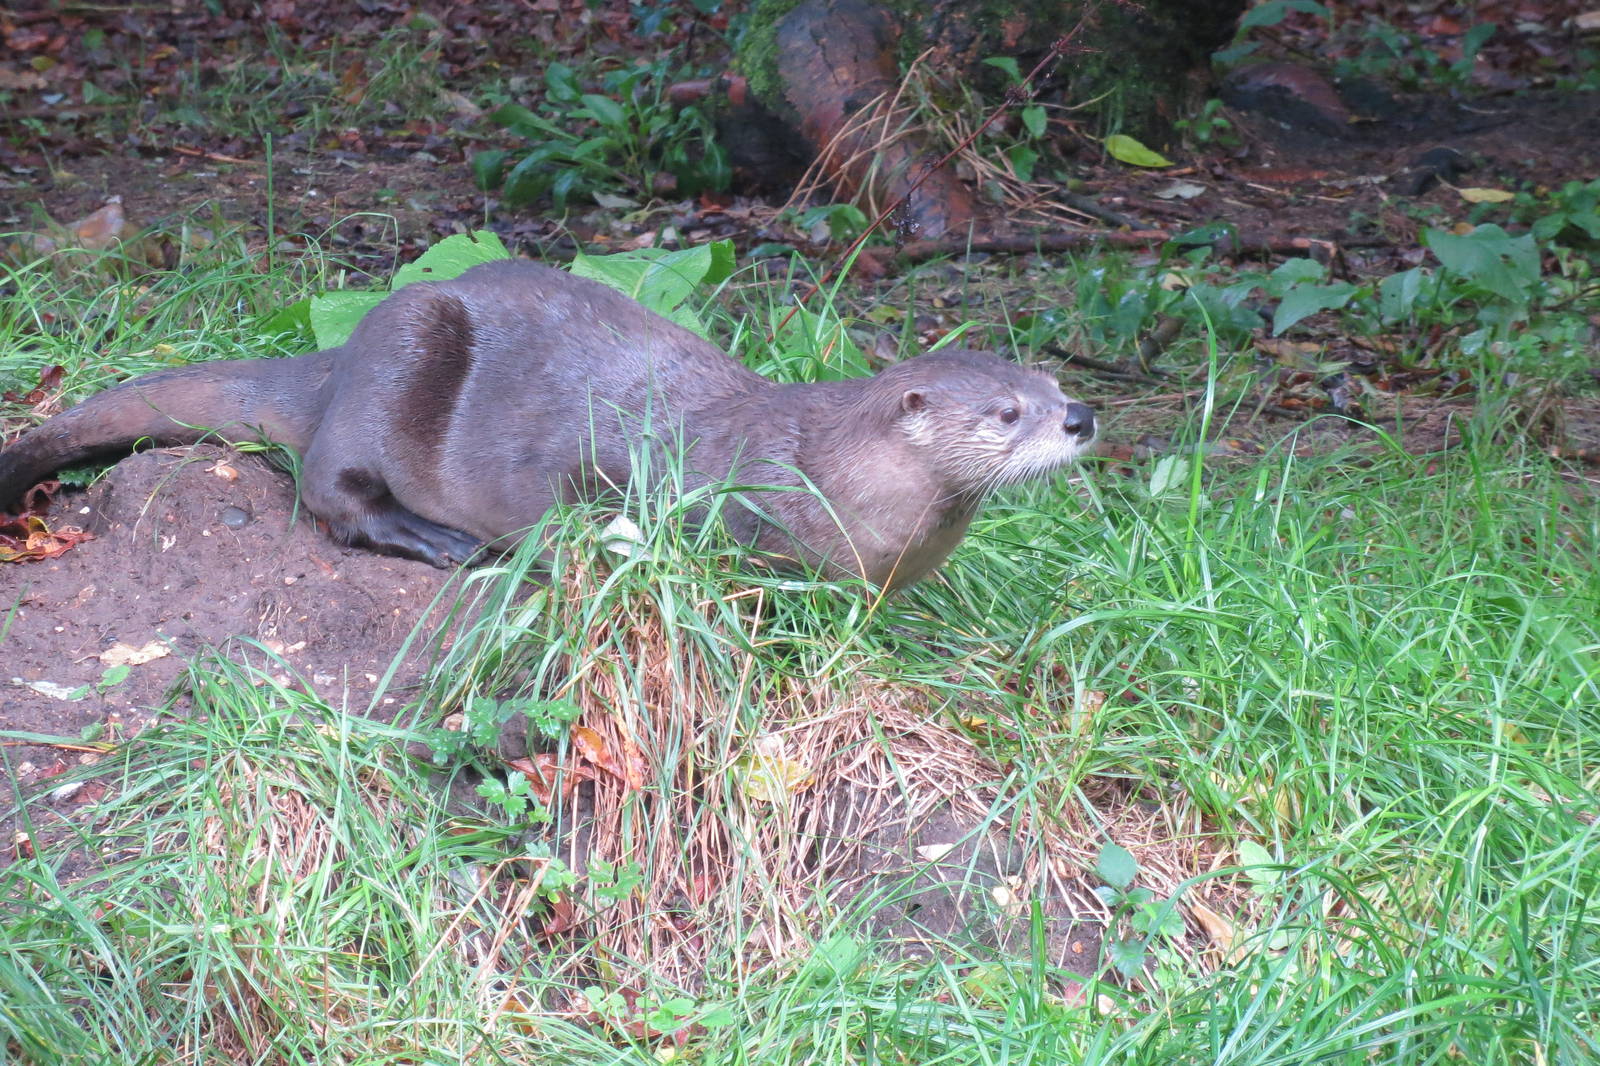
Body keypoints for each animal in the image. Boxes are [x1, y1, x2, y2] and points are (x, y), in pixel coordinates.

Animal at [0, 260, 1095, 589]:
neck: (816, 473)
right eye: (1006, 413)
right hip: (394, 369)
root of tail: (340, 354)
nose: (1079, 416)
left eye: (1049, 381)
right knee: (329, 497)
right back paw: (440, 543)